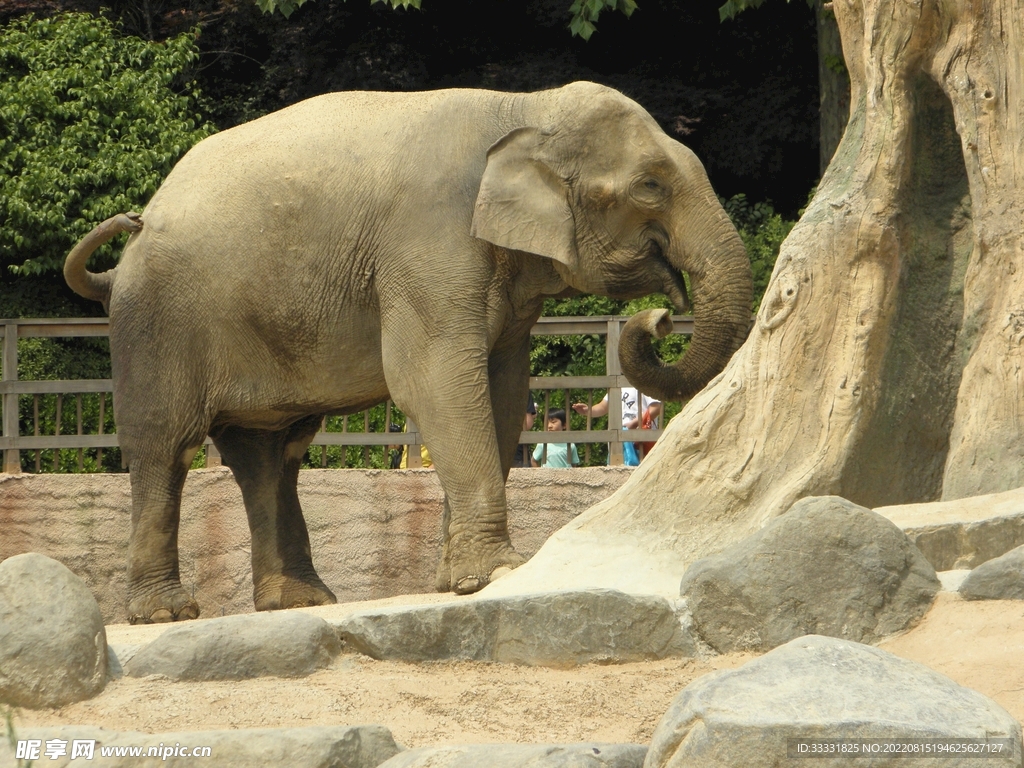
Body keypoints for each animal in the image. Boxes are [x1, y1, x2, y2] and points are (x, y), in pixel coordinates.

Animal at [64, 82, 753, 623]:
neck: (526, 106)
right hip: (159, 319)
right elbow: (434, 380)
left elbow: (502, 393)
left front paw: (457, 581)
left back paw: (302, 601)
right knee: (168, 445)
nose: (660, 317)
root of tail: (131, 242)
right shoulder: (429, 244)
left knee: (272, 454)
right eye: (649, 186)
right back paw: (168, 612)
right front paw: (496, 575)